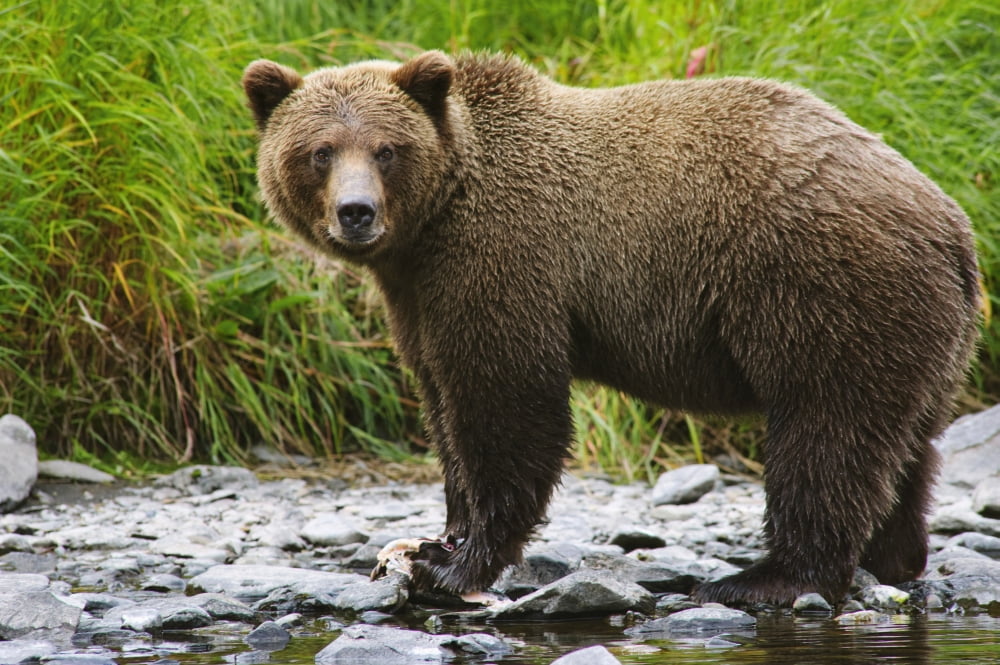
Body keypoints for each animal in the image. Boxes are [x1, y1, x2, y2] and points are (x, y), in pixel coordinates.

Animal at [241, 50, 980, 607]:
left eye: (386, 149)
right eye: (320, 151)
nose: (356, 212)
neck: (430, 227)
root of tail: (952, 223)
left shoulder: (503, 258)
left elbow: (508, 402)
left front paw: (455, 563)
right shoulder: (419, 296)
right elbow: (443, 403)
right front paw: (432, 538)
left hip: (822, 289)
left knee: (825, 433)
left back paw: (768, 576)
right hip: (923, 333)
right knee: (906, 443)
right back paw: (894, 554)